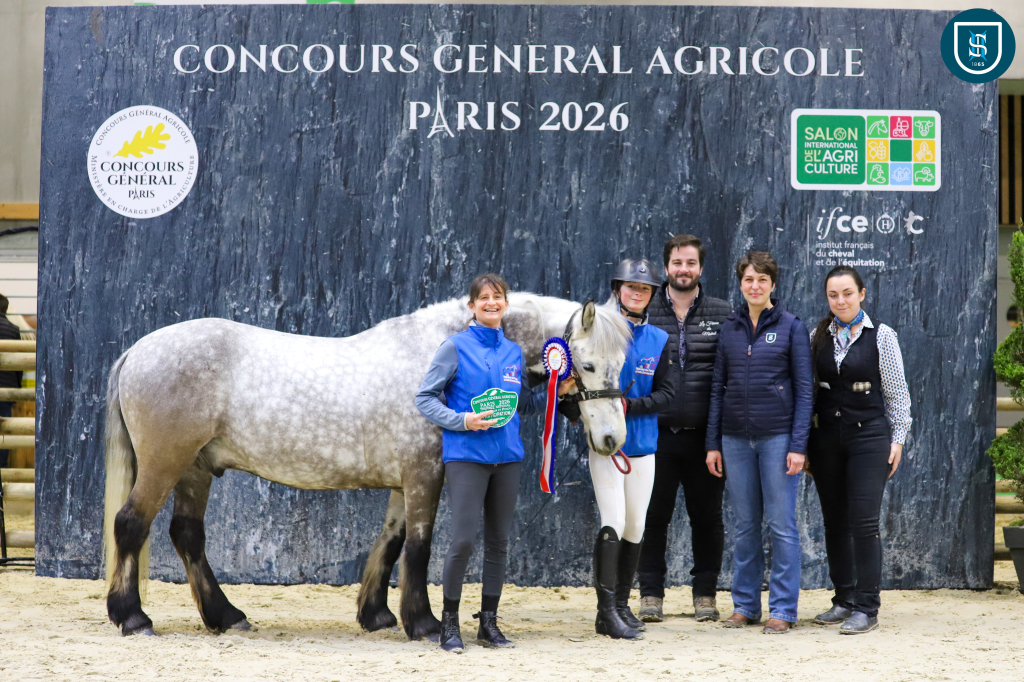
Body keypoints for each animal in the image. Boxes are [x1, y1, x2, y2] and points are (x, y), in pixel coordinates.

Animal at [102, 294, 633, 639]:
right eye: (586, 365)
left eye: (622, 364)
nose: (613, 439)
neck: (437, 355)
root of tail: (138, 351)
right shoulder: (425, 474)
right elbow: (419, 547)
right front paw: (424, 623)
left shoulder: (405, 480)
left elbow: (393, 542)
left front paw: (376, 615)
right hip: (165, 463)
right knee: (131, 525)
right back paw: (133, 618)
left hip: (194, 468)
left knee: (187, 535)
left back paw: (225, 617)